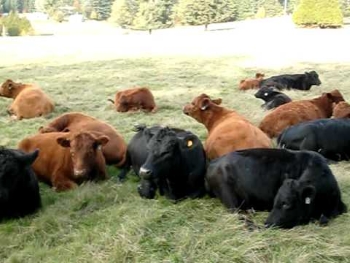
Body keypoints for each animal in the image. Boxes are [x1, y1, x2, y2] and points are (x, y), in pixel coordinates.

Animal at [206, 148, 346, 229]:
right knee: (239, 215)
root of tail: (213, 162)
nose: (267, 223)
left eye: (286, 204)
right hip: (230, 198)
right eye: (276, 201)